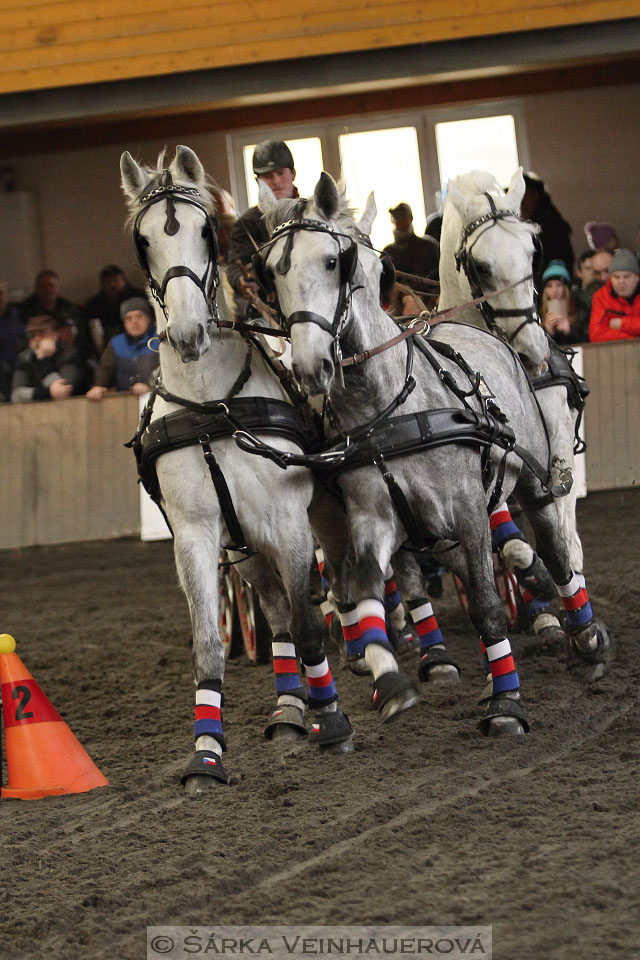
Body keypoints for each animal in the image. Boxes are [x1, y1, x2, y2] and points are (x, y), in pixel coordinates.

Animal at [119, 142, 356, 792]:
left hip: (328, 519)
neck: (212, 407)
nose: (189, 333)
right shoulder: (200, 534)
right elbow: (210, 641)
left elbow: (309, 620)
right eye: (143, 241)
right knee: (276, 612)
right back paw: (291, 710)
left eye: (205, 230)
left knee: (344, 590)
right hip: (244, 550)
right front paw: (206, 754)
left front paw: (334, 720)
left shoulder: (289, 523)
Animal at [256, 172, 608, 736]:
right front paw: (389, 676)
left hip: (531, 482)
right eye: (269, 271)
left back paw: (584, 633)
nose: (311, 366)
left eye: (334, 262)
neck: (388, 405)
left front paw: (507, 702)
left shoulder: (471, 504)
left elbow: (490, 595)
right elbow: (370, 584)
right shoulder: (375, 517)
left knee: (554, 548)